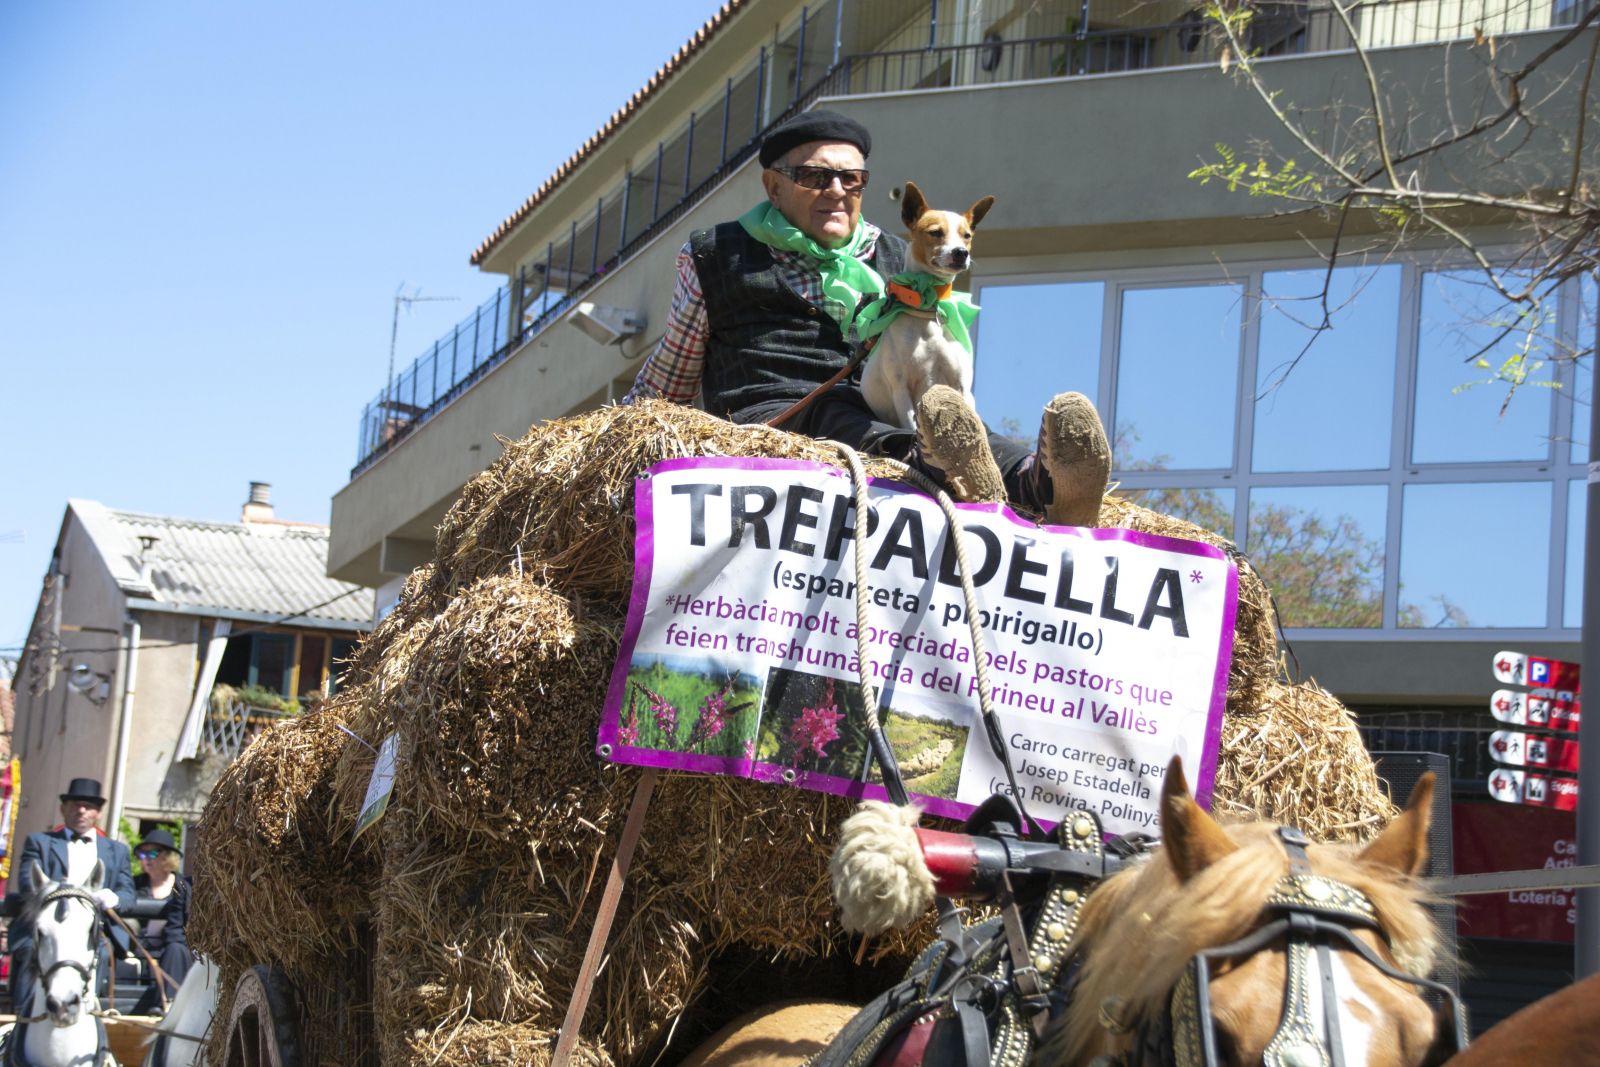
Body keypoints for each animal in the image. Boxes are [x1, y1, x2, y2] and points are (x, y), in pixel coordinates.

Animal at [864, 181, 985, 431]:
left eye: (967, 236)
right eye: (935, 232)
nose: (961, 253)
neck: (928, 310)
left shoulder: (962, 387)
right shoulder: (902, 390)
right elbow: (912, 427)